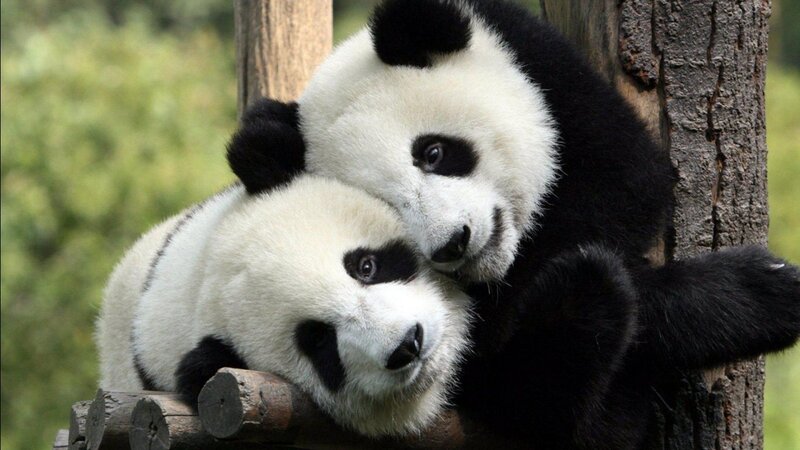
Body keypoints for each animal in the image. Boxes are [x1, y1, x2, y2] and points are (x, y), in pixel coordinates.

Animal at [227, 0, 800, 447]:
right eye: (389, 208)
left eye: (433, 152)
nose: (453, 244)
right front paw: (755, 292)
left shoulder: (548, 76)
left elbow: (629, 184)